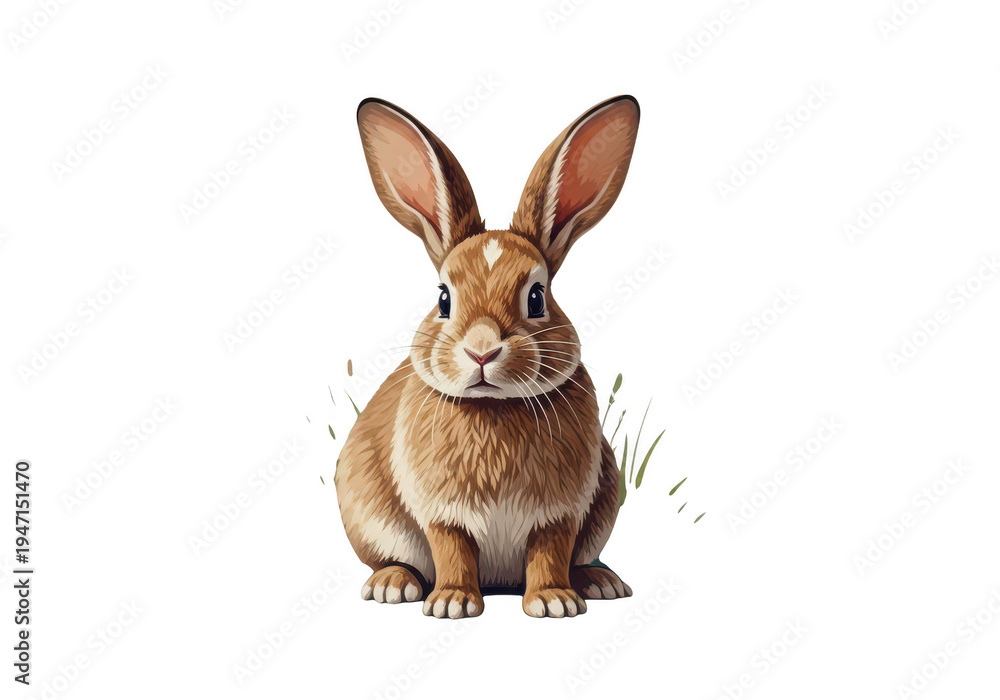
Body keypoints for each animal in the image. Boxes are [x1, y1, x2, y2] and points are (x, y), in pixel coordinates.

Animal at [336, 95, 640, 618]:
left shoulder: (559, 514)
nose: (482, 351)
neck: (494, 409)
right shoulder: (444, 514)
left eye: (537, 297)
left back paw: (598, 582)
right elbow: (452, 550)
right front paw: (452, 603)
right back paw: (393, 584)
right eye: (443, 298)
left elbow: (549, 552)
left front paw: (554, 602)